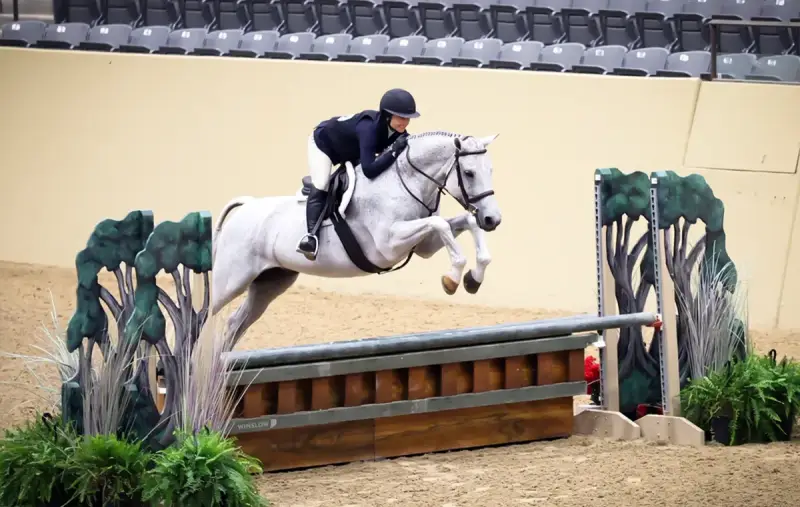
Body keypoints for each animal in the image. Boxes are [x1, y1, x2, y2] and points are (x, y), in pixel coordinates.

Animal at [210, 130, 502, 348]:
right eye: (469, 173)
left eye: (490, 170)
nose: (493, 219)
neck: (404, 183)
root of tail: (246, 206)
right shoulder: (388, 244)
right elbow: (441, 224)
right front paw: (452, 278)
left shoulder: (423, 246)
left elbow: (463, 223)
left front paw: (473, 278)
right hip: (231, 281)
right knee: (206, 316)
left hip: (270, 282)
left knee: (234, 325)